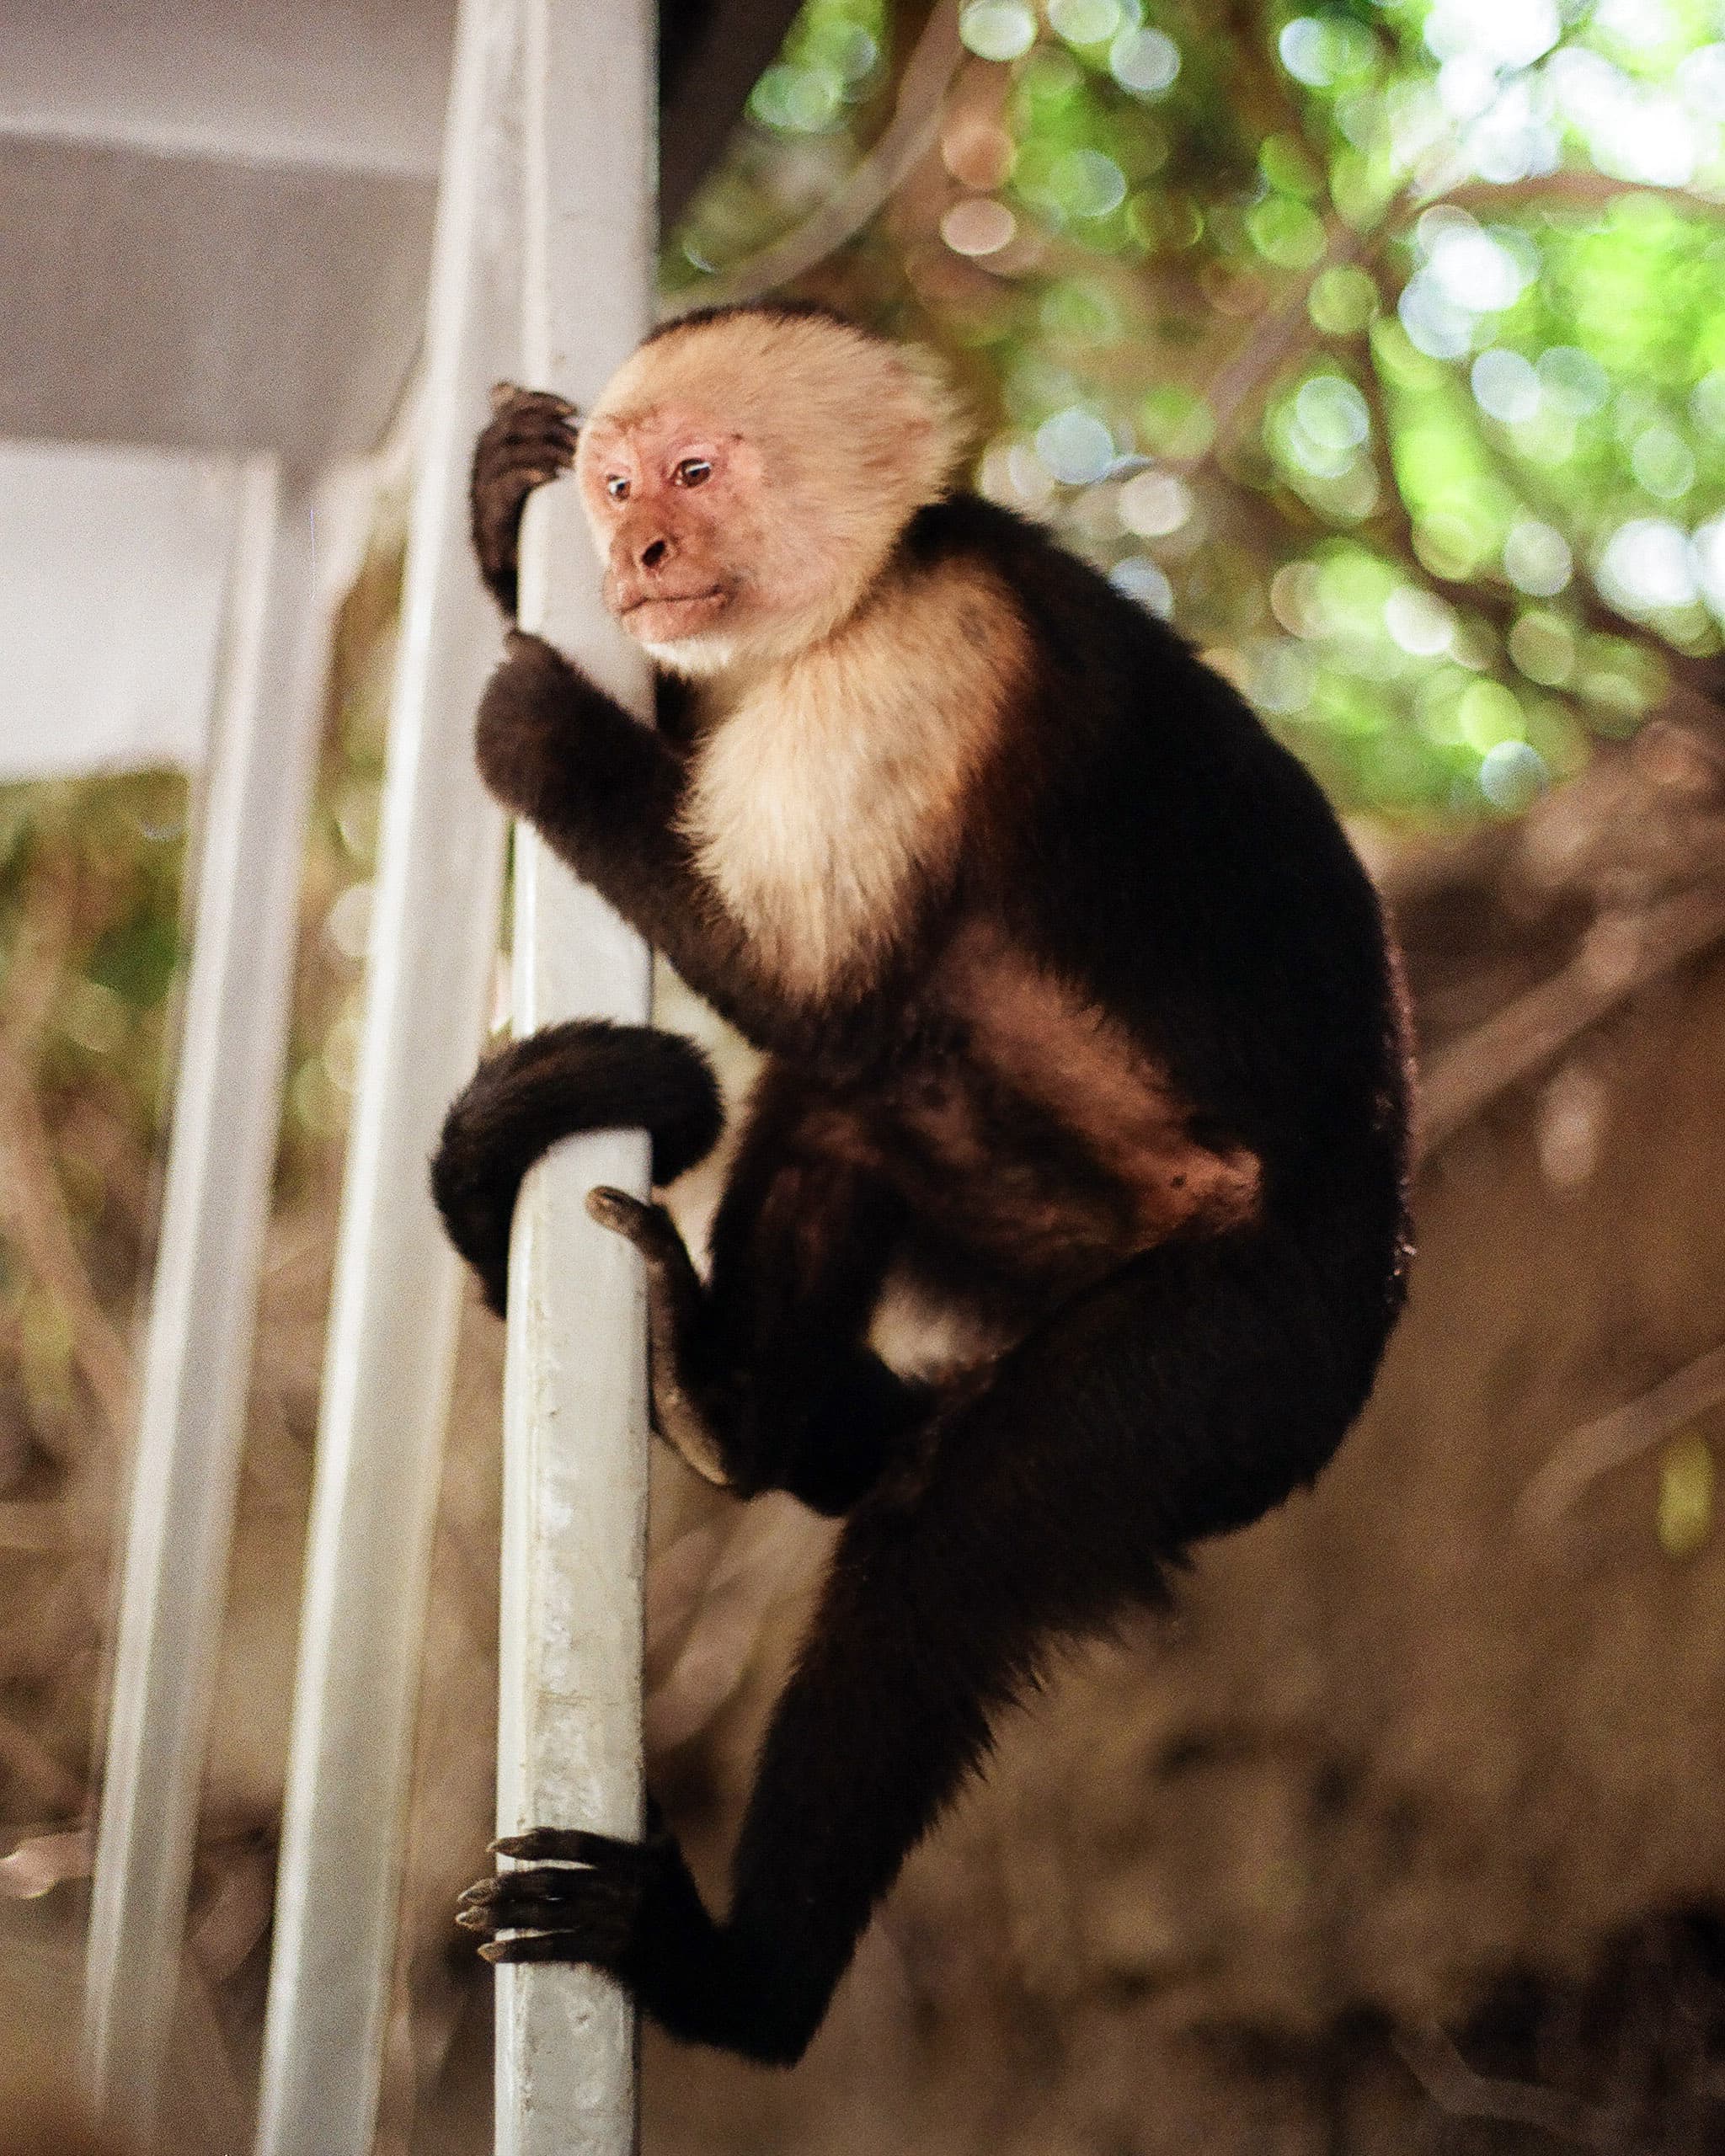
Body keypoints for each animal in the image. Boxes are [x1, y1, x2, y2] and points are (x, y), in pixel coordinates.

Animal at [433, 303, 1413, 2066]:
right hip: (1033, 1229)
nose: (636, 551)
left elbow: (801, 981)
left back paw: (734, 1981)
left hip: (1249, 1348)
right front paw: (494, 522)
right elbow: (811, 991)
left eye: (696, 473)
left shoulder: (916, 661)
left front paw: (536, 728)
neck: (863, 587)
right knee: (853, 1111)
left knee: (949, 1543)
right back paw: (729, 1411)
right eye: (612, 487)